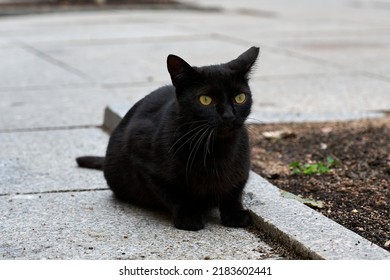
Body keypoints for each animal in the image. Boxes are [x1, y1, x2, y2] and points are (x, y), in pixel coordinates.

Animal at [76, 46, 258, 230]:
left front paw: (235, 214)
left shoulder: (242, 168)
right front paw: (188, 216)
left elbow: (234, 191)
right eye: (205, 100)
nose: (229, 115)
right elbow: (174, 194)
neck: (215, 149)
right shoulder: (143, 159)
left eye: (240, 97)